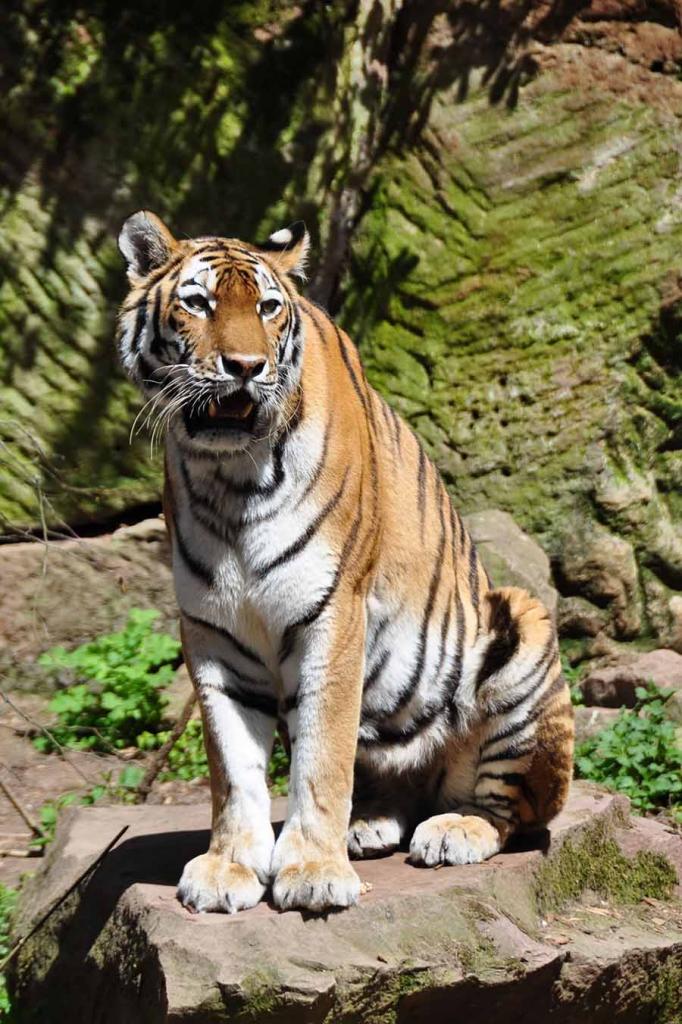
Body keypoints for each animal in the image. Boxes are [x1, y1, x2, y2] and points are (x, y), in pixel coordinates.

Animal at [116, 210, 574, 914]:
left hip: (521, 627)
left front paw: (311, 871)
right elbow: (233, 768)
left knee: (515, 813)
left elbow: (321, 756)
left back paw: (453, 831)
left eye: (268, 308)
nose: (244, 366)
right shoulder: (214, 634)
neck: (228, 476)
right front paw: (227, 868)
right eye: (198, 303)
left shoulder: (332, 611)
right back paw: (371, 824)